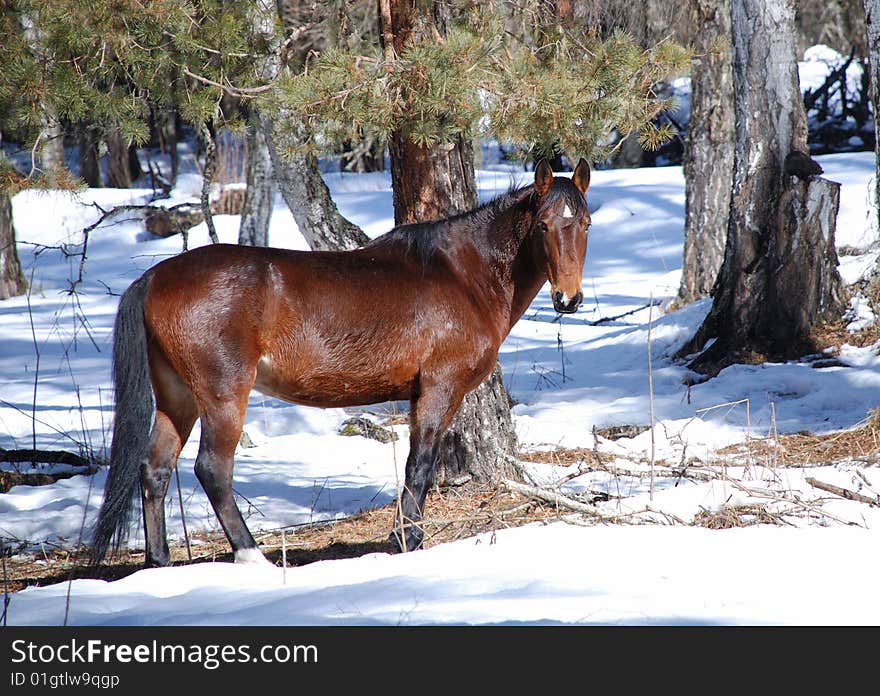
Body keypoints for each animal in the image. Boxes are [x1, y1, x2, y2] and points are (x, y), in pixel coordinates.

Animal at [91, 156, 592, 564]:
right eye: (543, 226)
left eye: (585, 223)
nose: (568, 299)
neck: (460, 274)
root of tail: (157, 276)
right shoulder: (439, 388)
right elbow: (420, 463)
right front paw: (406, 540)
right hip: (222, 394)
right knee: (212, 470)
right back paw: (252, 556)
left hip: (177, 397)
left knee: (154, 470)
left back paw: (160, 561)